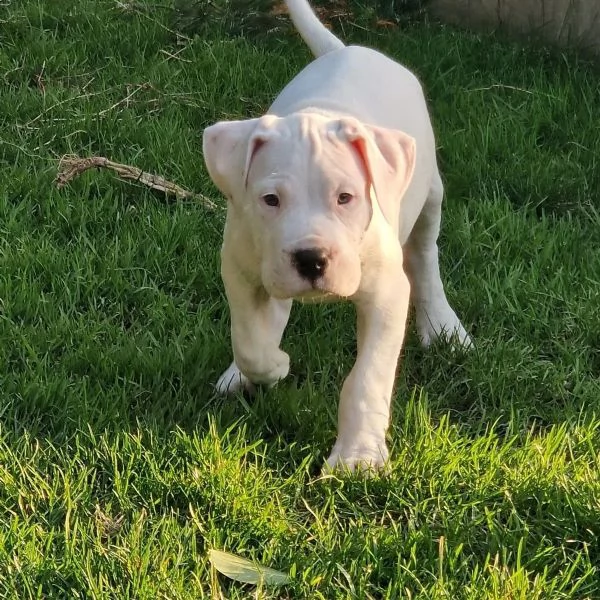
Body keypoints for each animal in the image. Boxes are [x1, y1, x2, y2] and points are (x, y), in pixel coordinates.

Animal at [204, 0, 472, 472]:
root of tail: (349, 50)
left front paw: (357, 457)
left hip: (430, 196)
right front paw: (270, 365)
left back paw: (442, 324)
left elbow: (368, 378)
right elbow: (250, 339)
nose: (311, 259)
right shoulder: (240, 269)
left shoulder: (386, 295)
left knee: (425, 258)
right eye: (270, 200)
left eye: (345, 197)